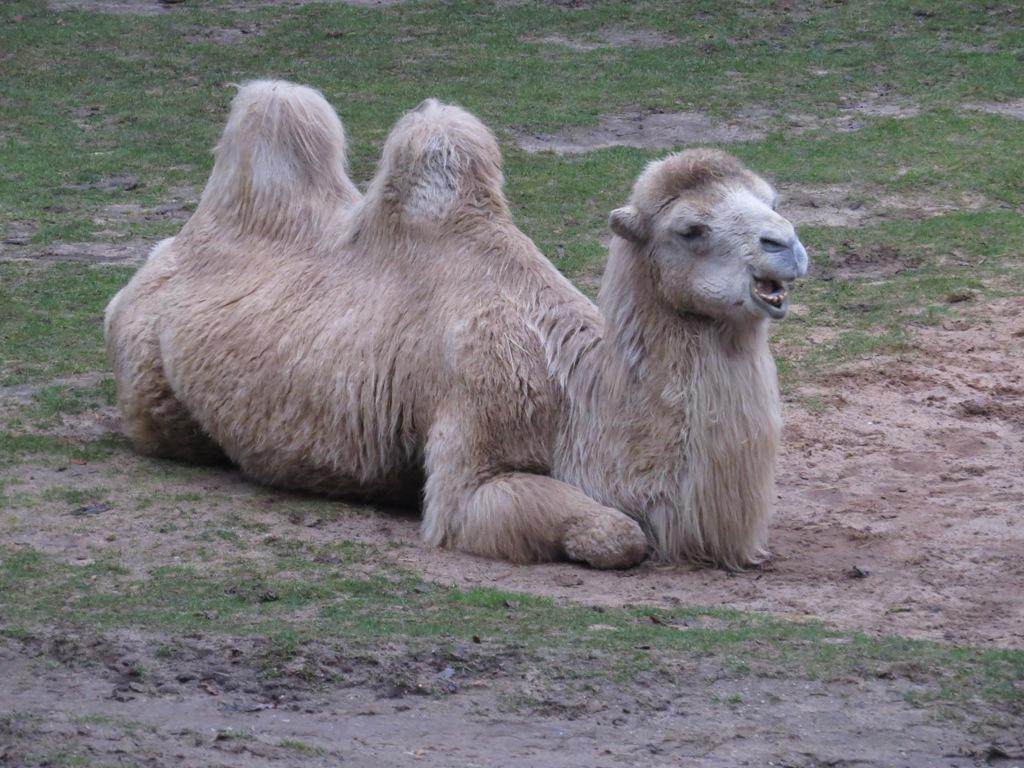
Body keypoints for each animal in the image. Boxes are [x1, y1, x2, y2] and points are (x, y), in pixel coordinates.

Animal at [105, 80, 808, 570]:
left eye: (772, 201)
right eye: (690, 229)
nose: (788, 246)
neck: (577, 393)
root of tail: (162, 254)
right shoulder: (475, 436)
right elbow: (616, 533)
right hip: (148, 377)